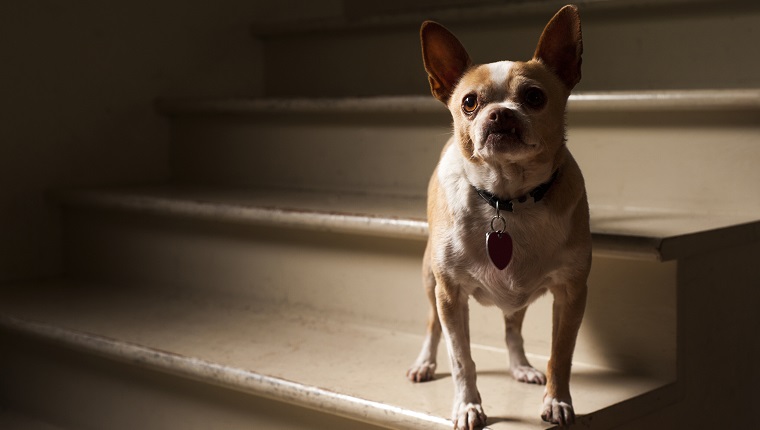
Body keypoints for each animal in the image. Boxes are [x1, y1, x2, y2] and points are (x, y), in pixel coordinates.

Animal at [406, 5, 592, 428]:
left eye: (535, 97)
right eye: (469, 102)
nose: (500, 114)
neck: (507, 200)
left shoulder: (571, 294)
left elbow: (561, 355)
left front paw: (557, 400)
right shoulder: (450, 295)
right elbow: (462, 359)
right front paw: (468, 406)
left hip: (518, 298)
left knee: (512, 328)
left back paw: (520, 366)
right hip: (430, 280)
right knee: (431, 326)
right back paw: (424, 363)